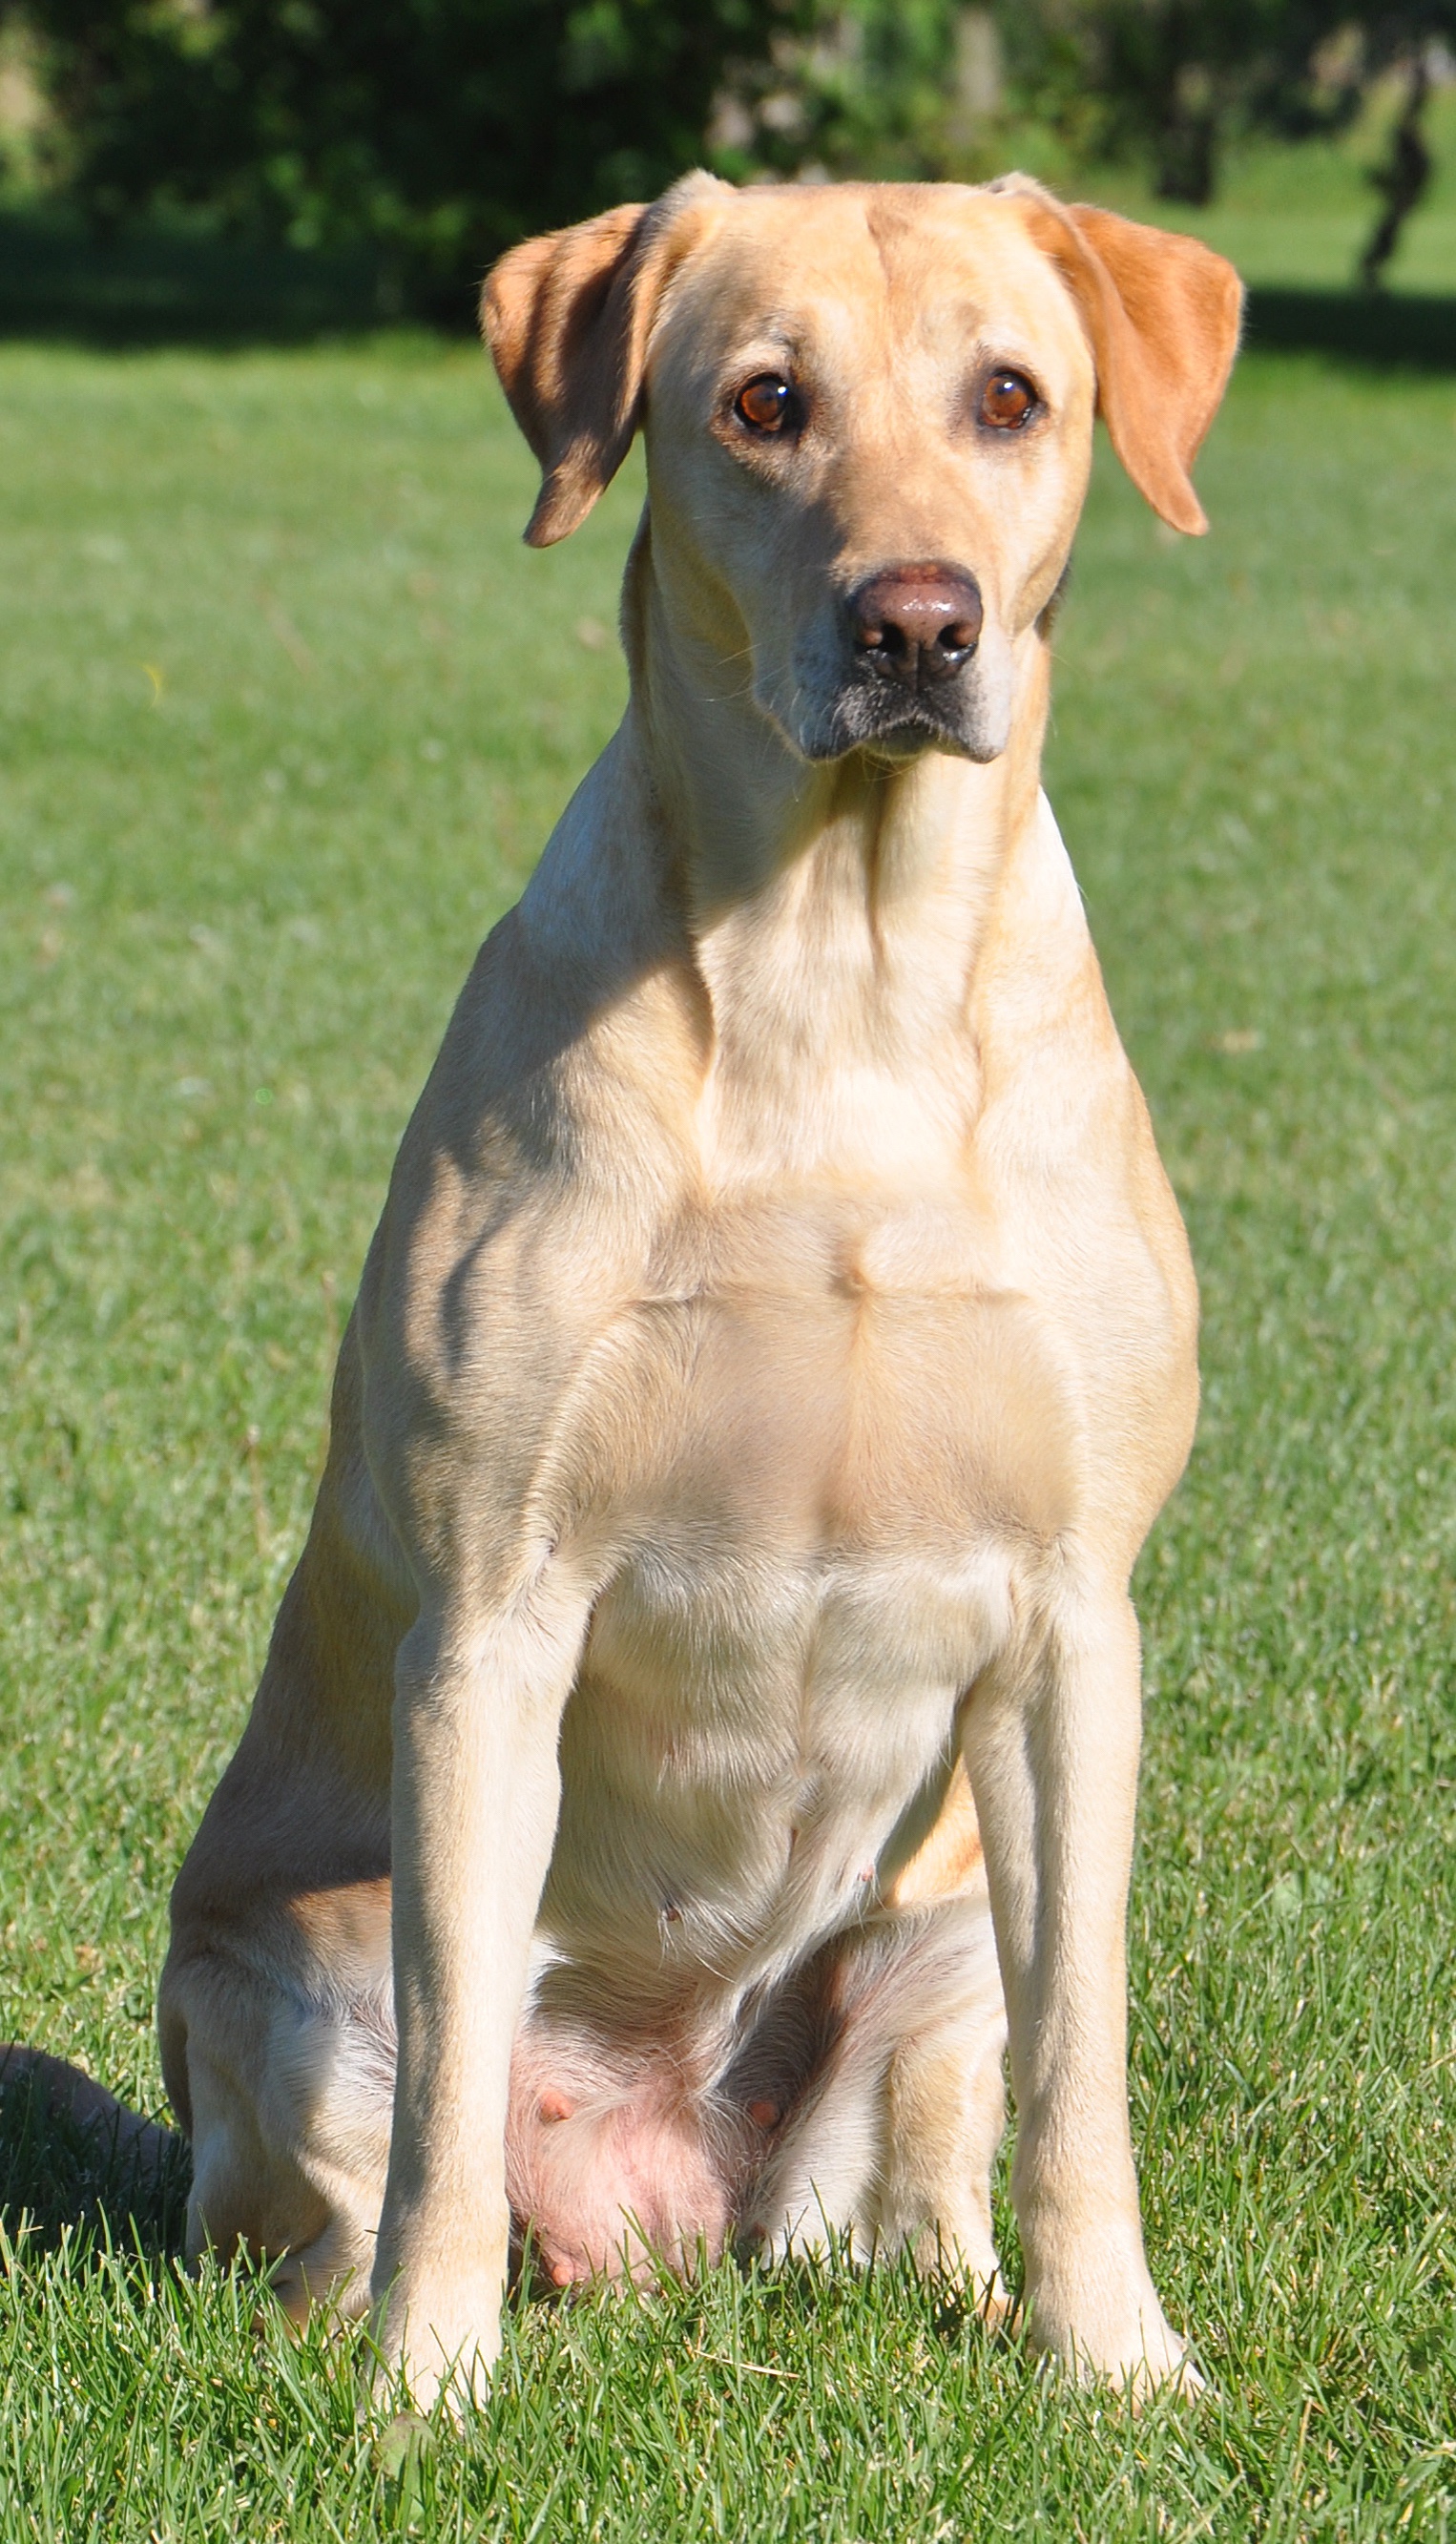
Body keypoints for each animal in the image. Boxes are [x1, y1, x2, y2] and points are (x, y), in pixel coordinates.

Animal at [158, 174, 1241, 2401]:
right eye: (761, 403)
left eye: (1010, 396)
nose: (916, 624)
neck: (840, 970)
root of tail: (658, 2201)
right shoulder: (494, 1622)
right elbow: (447, 2113)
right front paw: (423, 2396)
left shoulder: (1076, 1621)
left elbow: (1082, 2074)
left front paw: (1121, 2365)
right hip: (285, 1967)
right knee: (346, 2179)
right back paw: (347, 2336)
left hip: (926, 1929)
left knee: (921, 2178)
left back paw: (973, 2298)